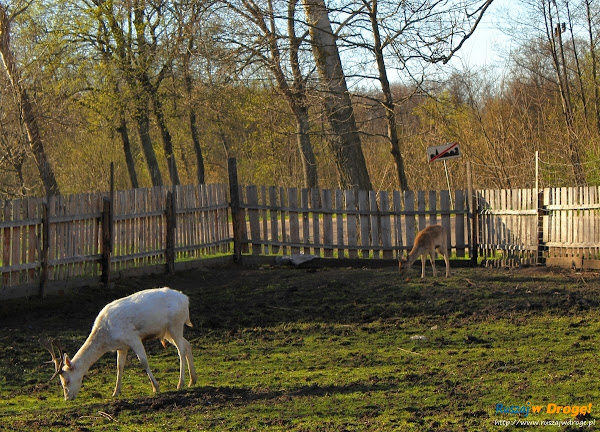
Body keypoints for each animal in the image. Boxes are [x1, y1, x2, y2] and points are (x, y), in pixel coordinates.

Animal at [42, 288, 197, 400]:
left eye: (66, 381)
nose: (67, 398)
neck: (107, 338)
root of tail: (186, 299)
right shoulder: (121, 346)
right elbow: (119, 366)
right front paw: (115, 392)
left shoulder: (133, 337)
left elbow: (144, 362)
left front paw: (156, 387)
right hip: (166, 332)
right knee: (187, 344)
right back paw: (192, 380)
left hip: (175, 324)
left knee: (181, 350)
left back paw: (180, 383)